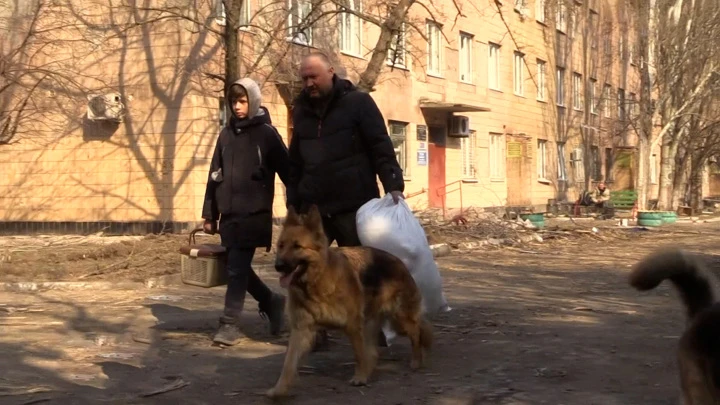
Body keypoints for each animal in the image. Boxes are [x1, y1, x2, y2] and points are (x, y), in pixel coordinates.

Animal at [266, 205, 430, 398]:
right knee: (373, 352)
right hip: (371, 323)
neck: (316, 283)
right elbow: (288, 363)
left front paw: (360, 378)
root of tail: (399, 261)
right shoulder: (301, 330)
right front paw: (279, 389)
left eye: (297, 246)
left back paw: (416, 361)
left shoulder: (352, 326)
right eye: (281, 246)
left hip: (400, 319)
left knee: (416, 333)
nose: (278, 266)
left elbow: (359, 355)